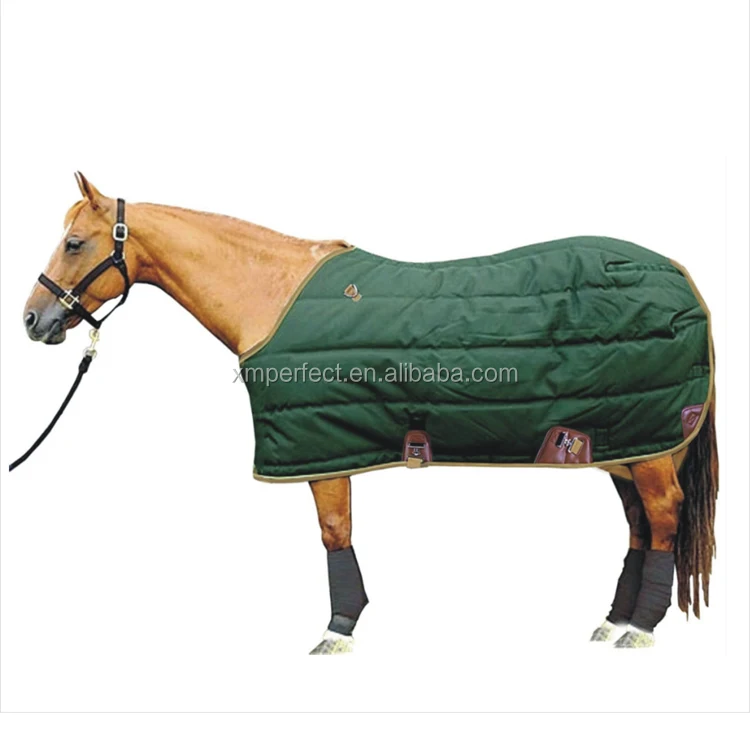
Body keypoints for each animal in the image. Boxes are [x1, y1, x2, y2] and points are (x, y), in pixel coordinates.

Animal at [18, 172, 718, 654]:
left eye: (74, 243)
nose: (32, 319)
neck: (271, 297)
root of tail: (683, 276)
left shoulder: (322, 451)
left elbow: (335, 533)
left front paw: (339, 628)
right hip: (627, 446)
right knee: (639, 524)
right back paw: (612, 620)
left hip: (651, 450)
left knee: (661, 517)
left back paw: (640, 628)